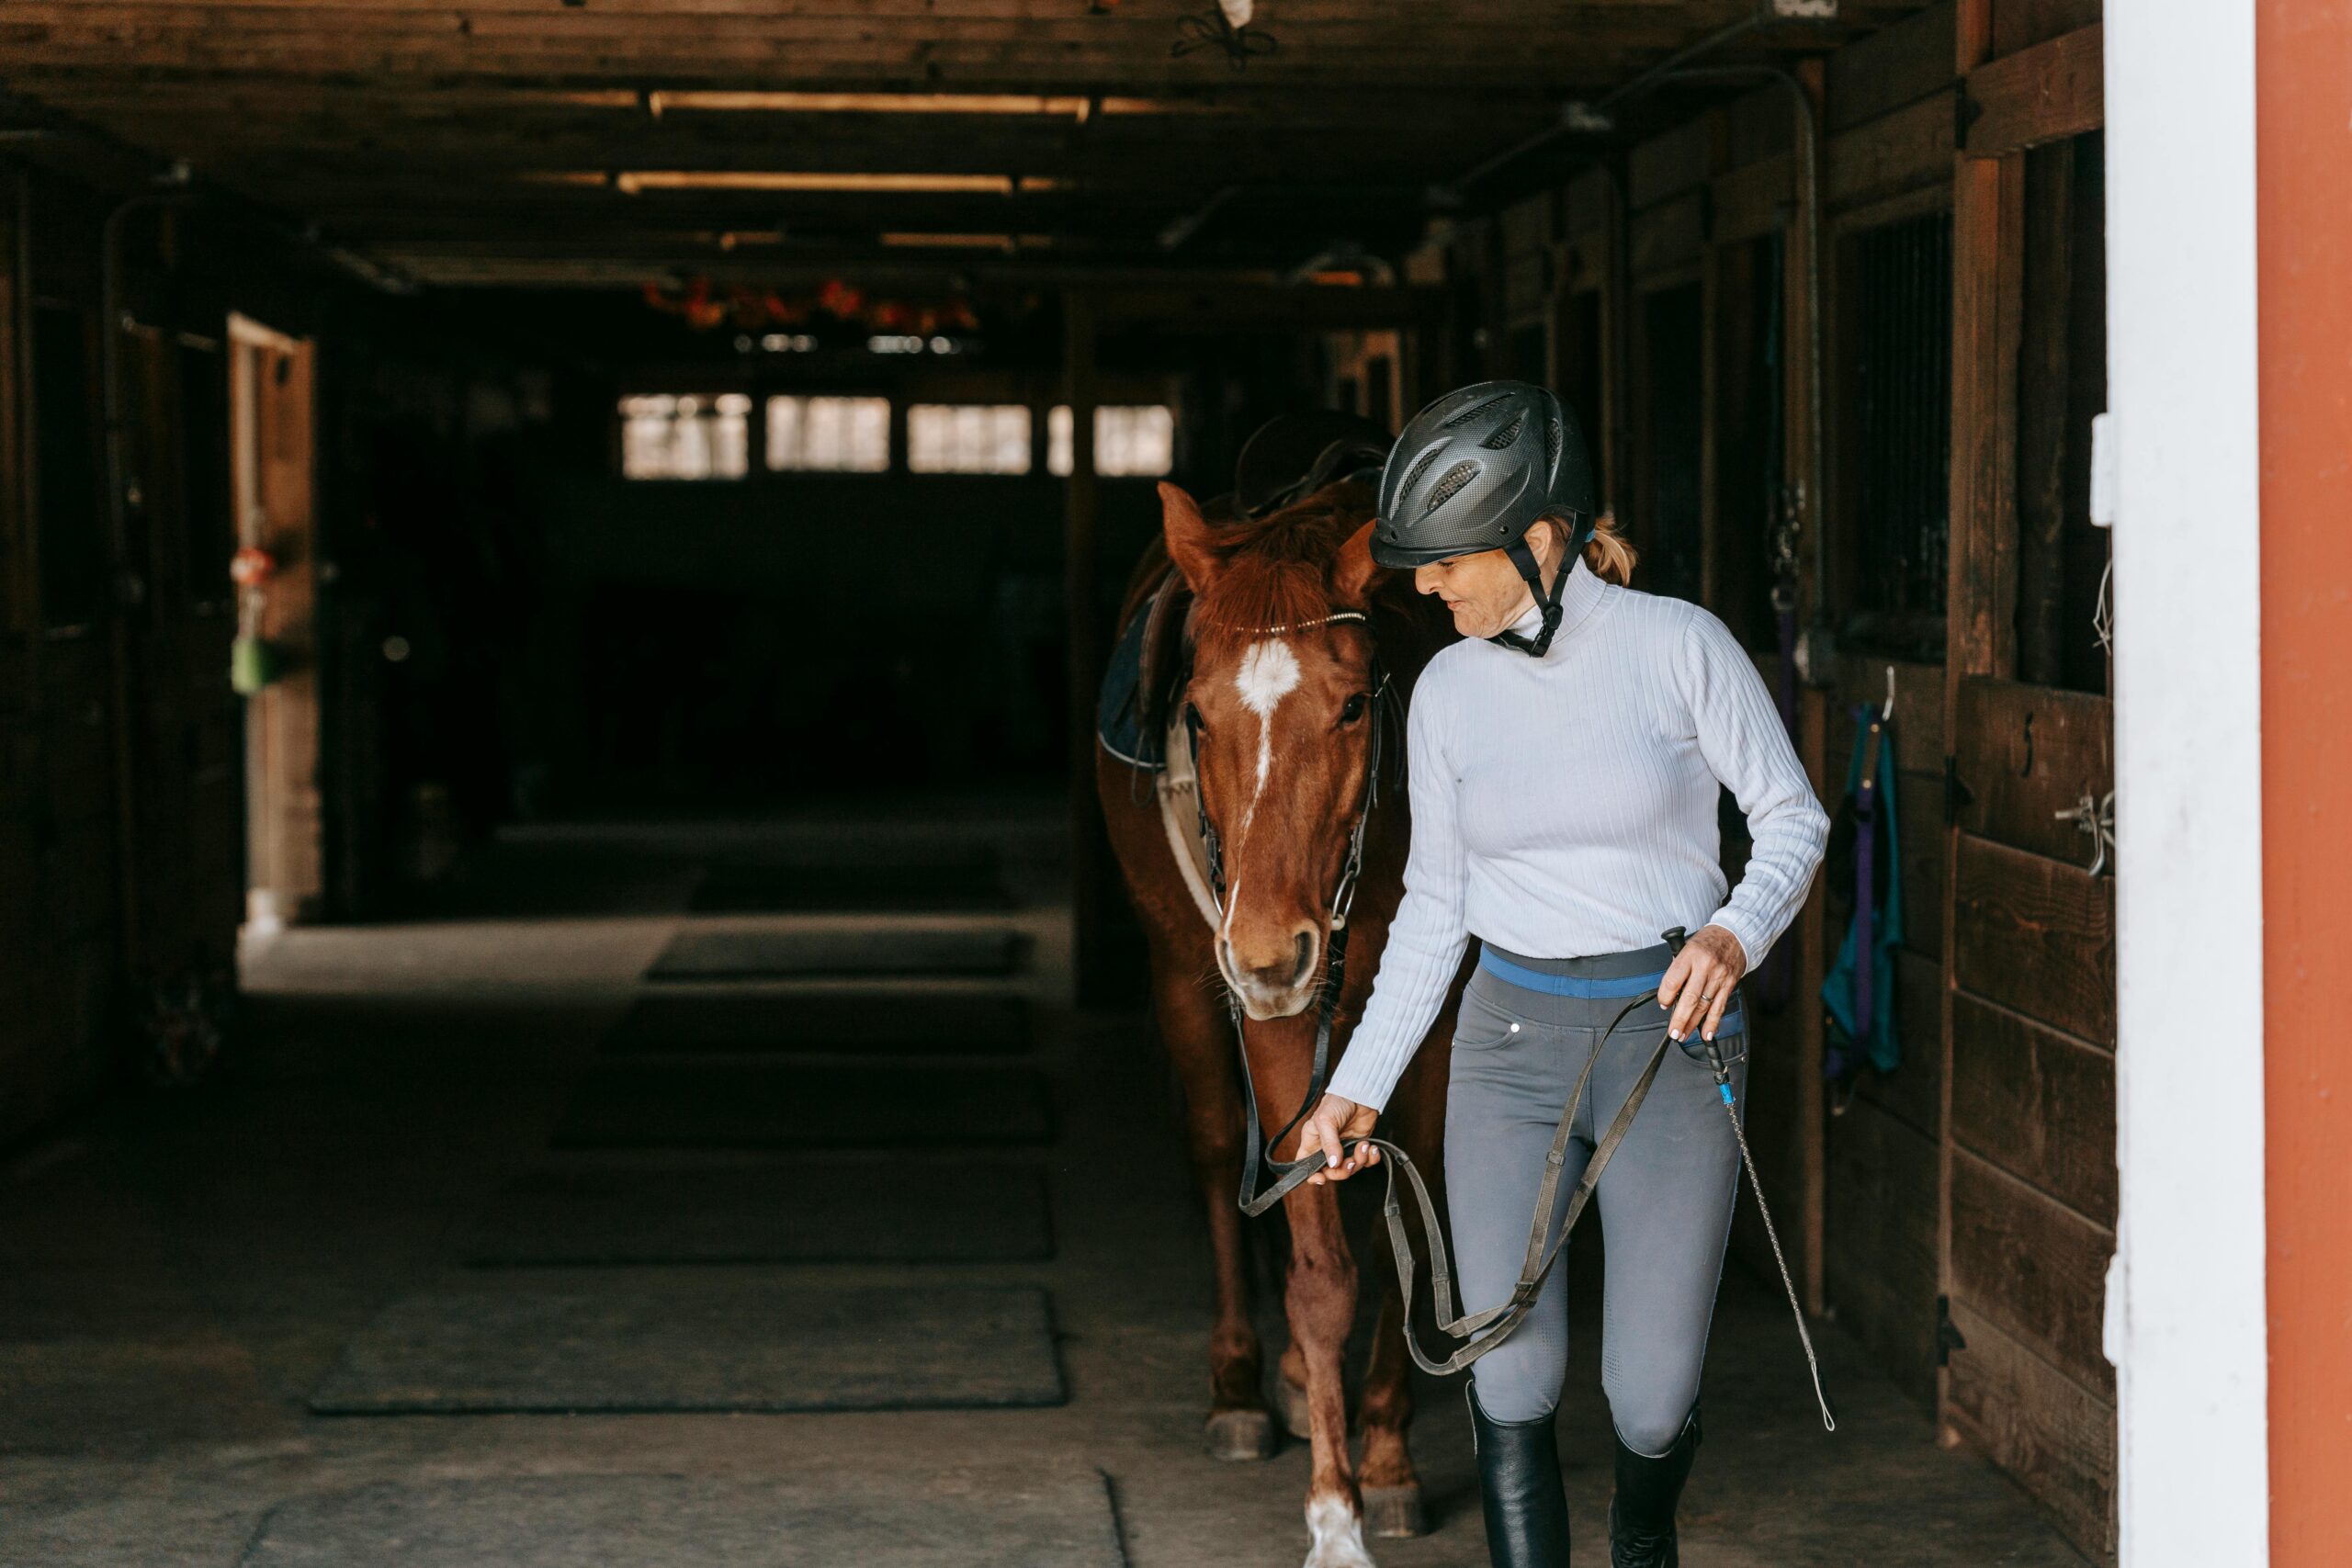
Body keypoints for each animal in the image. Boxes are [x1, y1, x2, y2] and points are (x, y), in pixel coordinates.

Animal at [1091, 479, 1458, 1568]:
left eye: (1352, 704)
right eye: (1197, 714)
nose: (1265, 953)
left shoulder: (1436, 1014)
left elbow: (1396, 1228)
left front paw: (1386, 1458)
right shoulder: (1279, 1020)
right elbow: (1321, 1274)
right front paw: (1333, 1516)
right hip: (1185, 970)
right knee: (1219, 1154)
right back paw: (1245, 1389)